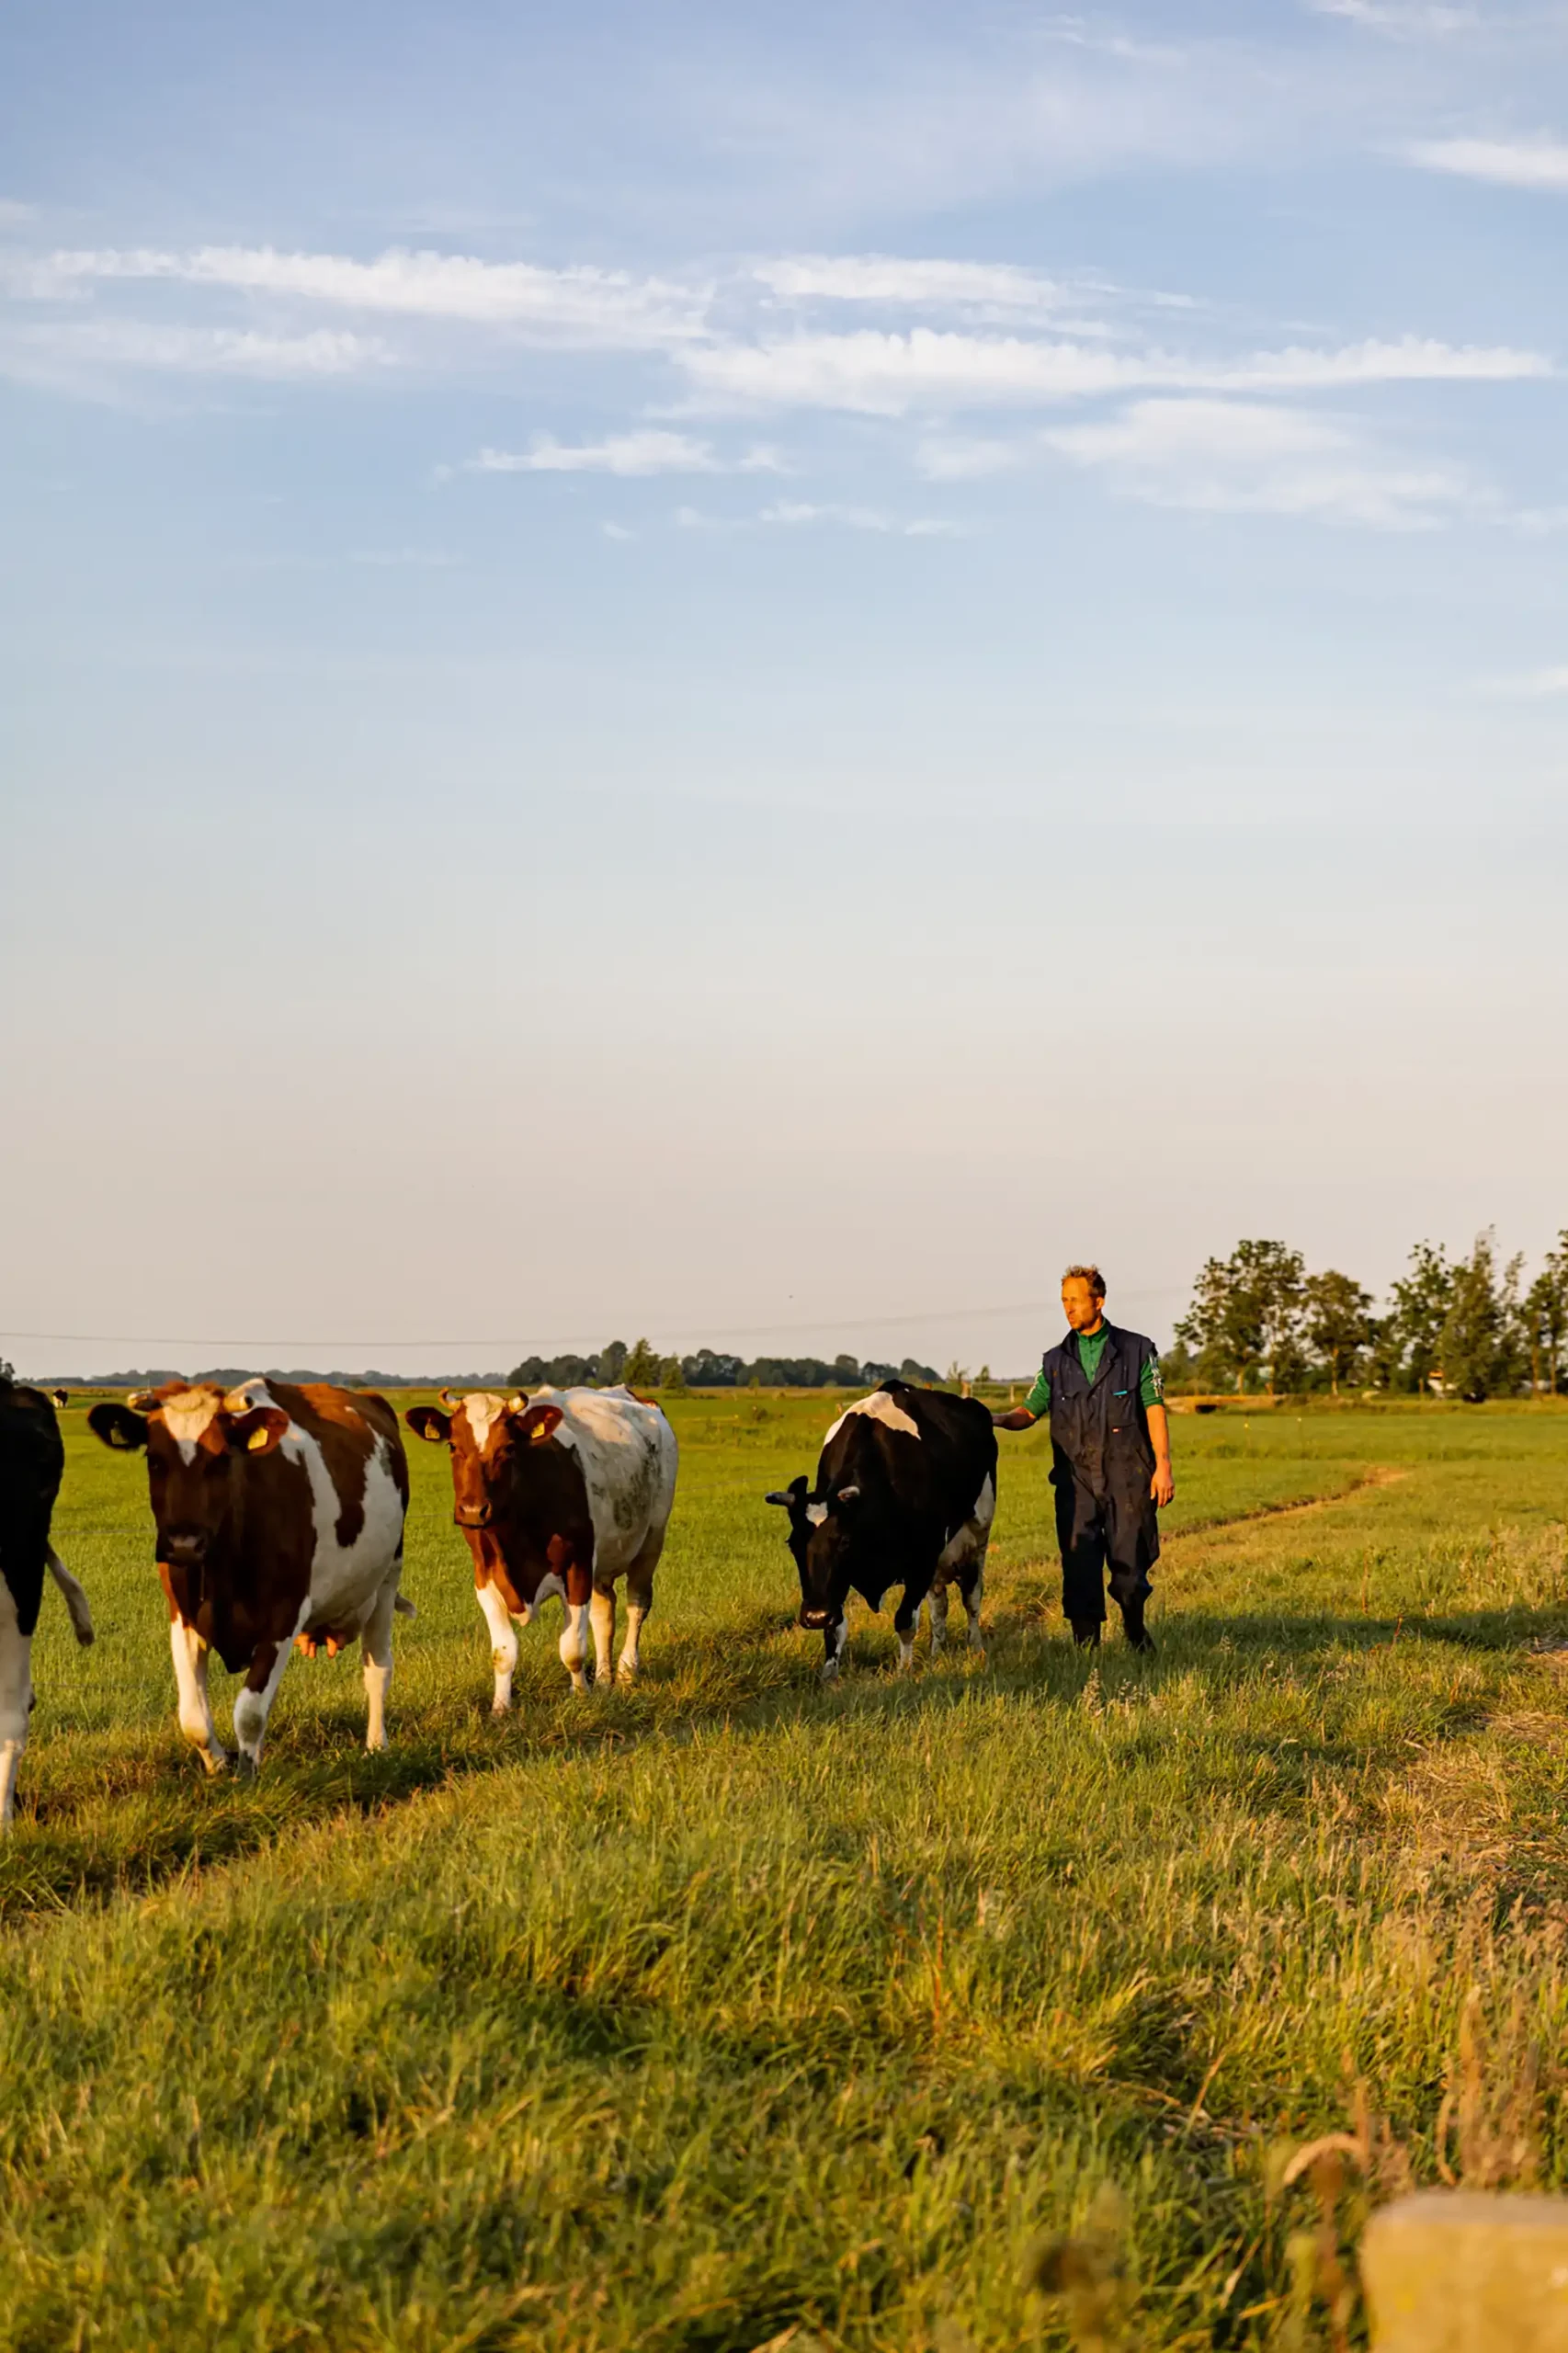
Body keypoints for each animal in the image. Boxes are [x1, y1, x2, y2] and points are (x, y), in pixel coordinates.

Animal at [86, 1374, 409, 1769]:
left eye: (222, 1458)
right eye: (154, 1459)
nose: (183, 1543)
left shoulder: (284, 1615)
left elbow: (249, 1713)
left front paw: (247, 1773)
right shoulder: (183, 1615)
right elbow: (194, 1718)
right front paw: (220, 1765)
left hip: (387, 1579)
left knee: (377, 1669)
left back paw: (377, 1744)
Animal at [403, 1383, 673, 1703]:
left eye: (508, 1448)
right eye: (453, 1446)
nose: (472, 1511)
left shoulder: (578, 1565)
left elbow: (573, 1649)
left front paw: (580, 1695)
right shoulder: (485, 1575)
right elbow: (503, 1653)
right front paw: (501, 1706)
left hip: (651, 1541)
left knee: (637, 1605)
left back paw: (627, 1671)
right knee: (603, 1612)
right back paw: (604, 1678)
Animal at [762, 1383, 993, 1684]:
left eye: (844, 1541)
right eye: (793, 1544)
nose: (814, 1616)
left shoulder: (923, 1557)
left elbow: (905, 1620)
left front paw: (904, 1671)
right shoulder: (836, 1582)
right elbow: (835, 1629)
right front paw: (829, 1677)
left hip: (977, 1535)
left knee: (972, 1598)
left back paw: (976, 1648)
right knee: (939, 1604)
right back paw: (936, 1653)